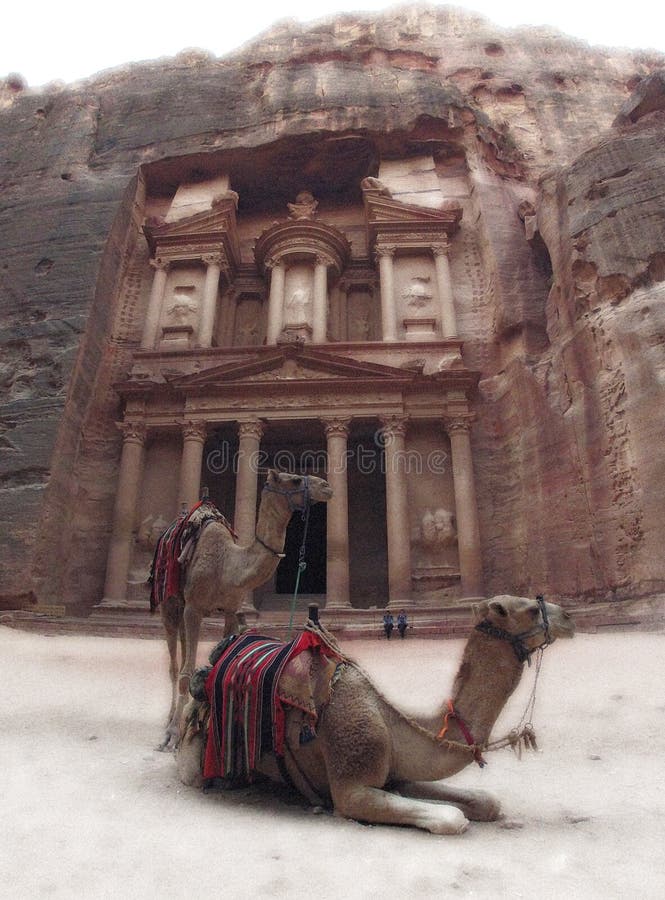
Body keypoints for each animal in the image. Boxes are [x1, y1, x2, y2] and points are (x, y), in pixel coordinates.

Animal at [156, 472, 332, 752]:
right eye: (294, 479)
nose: (326, 486)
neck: (228, 566)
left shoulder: (230, 610)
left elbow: (216, 662)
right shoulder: (194, 608)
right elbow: (185, 672)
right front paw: (174, 736)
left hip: (182, 607)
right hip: (169, 604)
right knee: (175, 665)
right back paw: (170, 723)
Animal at [178, 596, 576, 832]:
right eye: (528, 607)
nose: (568, 617)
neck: (392, 719)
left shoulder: (397, 772)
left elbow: (485, 802)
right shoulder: (352, 785)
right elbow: (452, 818)